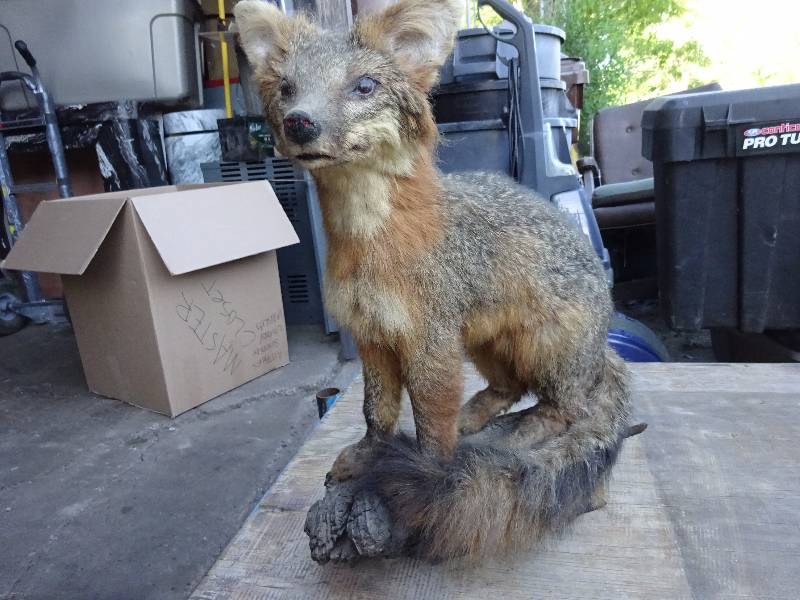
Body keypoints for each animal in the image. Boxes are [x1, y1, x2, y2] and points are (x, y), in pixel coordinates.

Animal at [234, 0, 631, 561]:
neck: (369, 244)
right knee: (510, 387)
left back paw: (518, 431)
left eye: (364, 85)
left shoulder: (430, 344)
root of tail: (603, 345)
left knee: (565, 410)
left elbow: (430, 427)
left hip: (541, 348)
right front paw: (368, 457)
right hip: (485, 345)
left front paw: (422, 483)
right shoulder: (373, 337)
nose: (300, 122)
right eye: (288, 88)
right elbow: (376, 412)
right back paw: (479, 416)